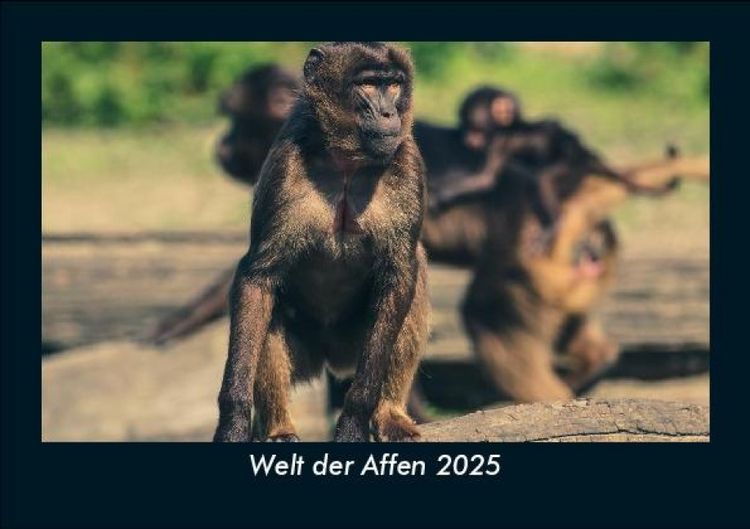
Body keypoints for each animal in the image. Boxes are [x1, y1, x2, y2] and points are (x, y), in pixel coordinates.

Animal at [214, 42, 429, 442]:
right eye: (368, 84)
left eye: (393, 84)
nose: (389, 112)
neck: (347, 162)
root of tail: (332, 358)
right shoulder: (285, 165)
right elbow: (257, 278)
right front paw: (233, 422)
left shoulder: (407, 161)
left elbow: (400, 274)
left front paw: (355, 420)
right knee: (267, 307)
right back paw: (280, 426)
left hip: (353, 345)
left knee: (414, 276)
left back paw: (389, 413)